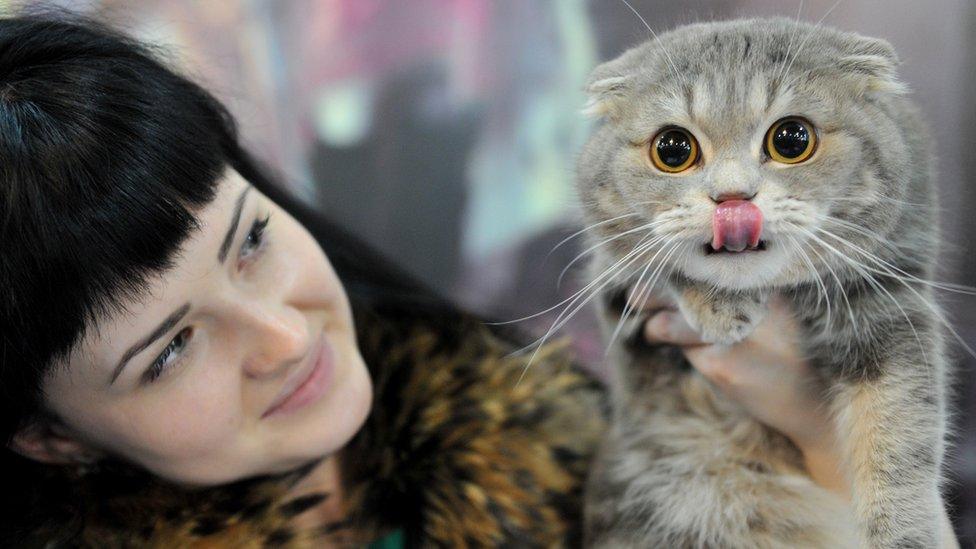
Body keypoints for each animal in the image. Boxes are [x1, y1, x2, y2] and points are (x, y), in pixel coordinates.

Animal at [580, 17, 952, 548]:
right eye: (672, 148)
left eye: (792, 140)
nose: (733, 198)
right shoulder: (612, 284)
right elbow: (663, 263)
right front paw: (720, 306)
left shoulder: (888, 297)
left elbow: (899, 430)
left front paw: (904, 533)